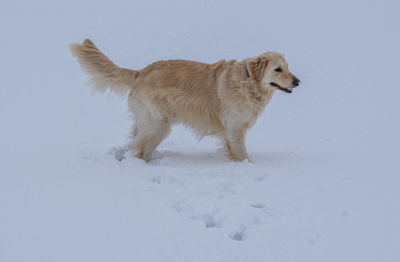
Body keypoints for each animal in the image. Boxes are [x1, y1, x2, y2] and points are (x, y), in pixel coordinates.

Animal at [69, 39, 300, 162]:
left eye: (288, 68)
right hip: (159, 124)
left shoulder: (230, 131)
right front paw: (249, 165)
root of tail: (140, 72)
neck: (248, 82)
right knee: (140, 148)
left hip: (146, 121)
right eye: (277, 69)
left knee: (136, 141)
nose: (297, 81)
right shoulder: (235, 129)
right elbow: (242, 154)